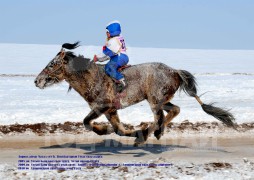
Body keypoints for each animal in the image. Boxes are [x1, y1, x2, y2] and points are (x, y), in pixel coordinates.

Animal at [34, 42, 235, 146]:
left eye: (52, 64)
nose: (37, 81)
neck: (92, 77)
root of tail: (175, 71)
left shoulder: (103, 107)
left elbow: (87, 122)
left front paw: (108, 130)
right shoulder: (110, 110)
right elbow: (119, 130)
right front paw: (132, 132)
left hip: (155, 100)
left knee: (160, 117)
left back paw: (152, 133)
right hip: (161, 100)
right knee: (174, 110)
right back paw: (147, 135)